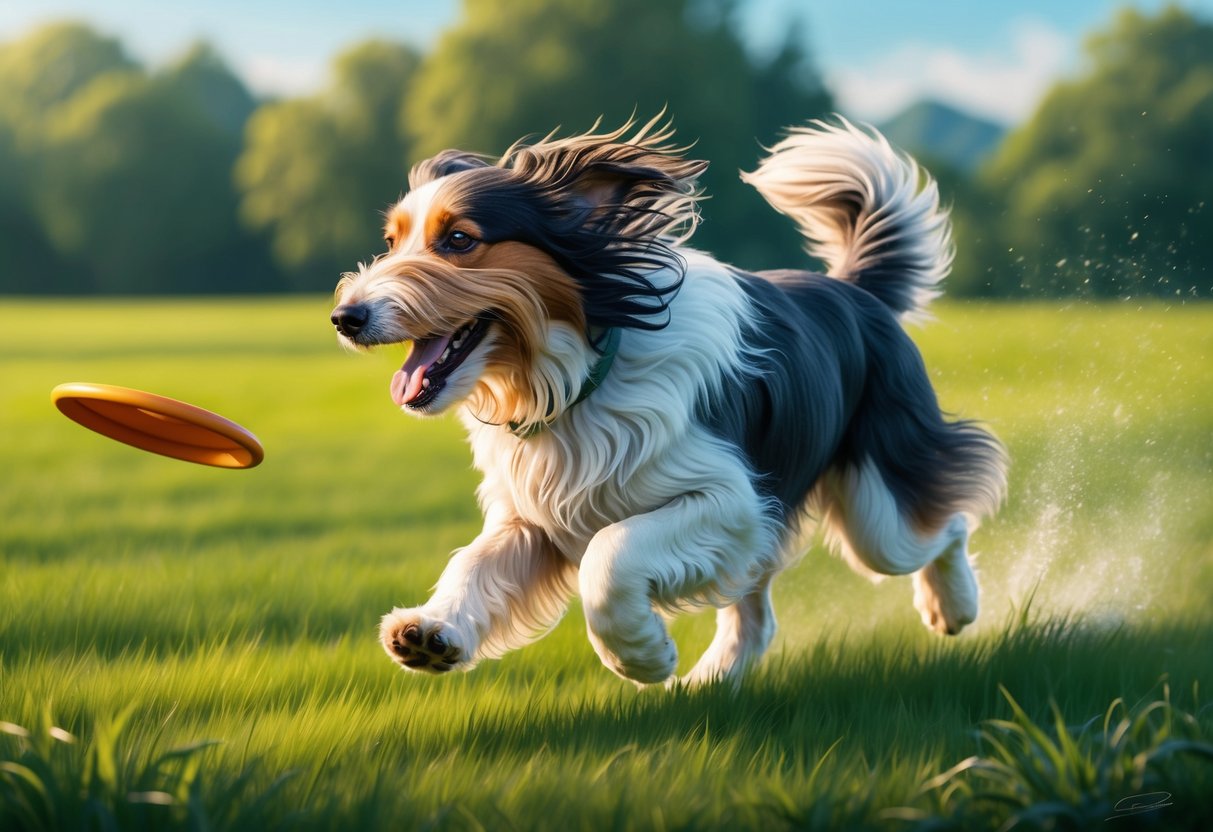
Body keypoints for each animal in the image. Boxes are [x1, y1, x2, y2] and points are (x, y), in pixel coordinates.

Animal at [329, 118, 1004, 688]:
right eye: (391, 241)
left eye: (459, 239)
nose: (344, 318)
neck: (579, 379)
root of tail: (854, 290)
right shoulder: (533, 517)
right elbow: (473, 562)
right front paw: (429, 633)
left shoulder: (733, 497)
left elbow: (610, 556)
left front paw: (643, 657)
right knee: (756, 615)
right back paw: (711, 682)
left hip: (875, 512)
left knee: (945, 523)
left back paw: (954, 605)